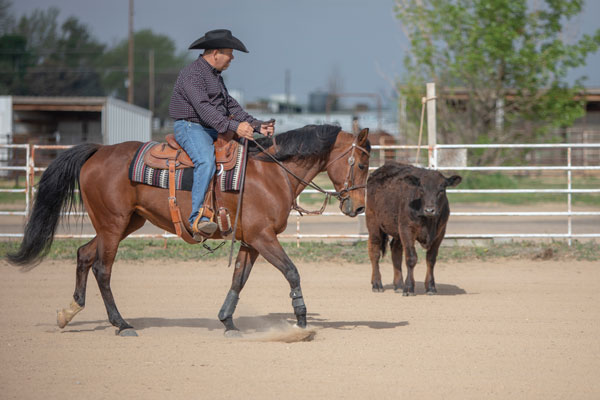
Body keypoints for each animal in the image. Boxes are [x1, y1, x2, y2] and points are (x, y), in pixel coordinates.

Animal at [7, 124, 370, 334]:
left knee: (83, 254)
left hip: (126, 223)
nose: (358, 207)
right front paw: (302, 320)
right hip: (112, 225)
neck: (271, 172)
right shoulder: (262, 237)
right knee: (102, 269)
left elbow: (238, 279)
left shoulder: (250, 241)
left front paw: (227, 321)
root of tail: (99, 151)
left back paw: (69, 312)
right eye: (363, 163)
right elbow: (292, 271)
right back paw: (121, 324)